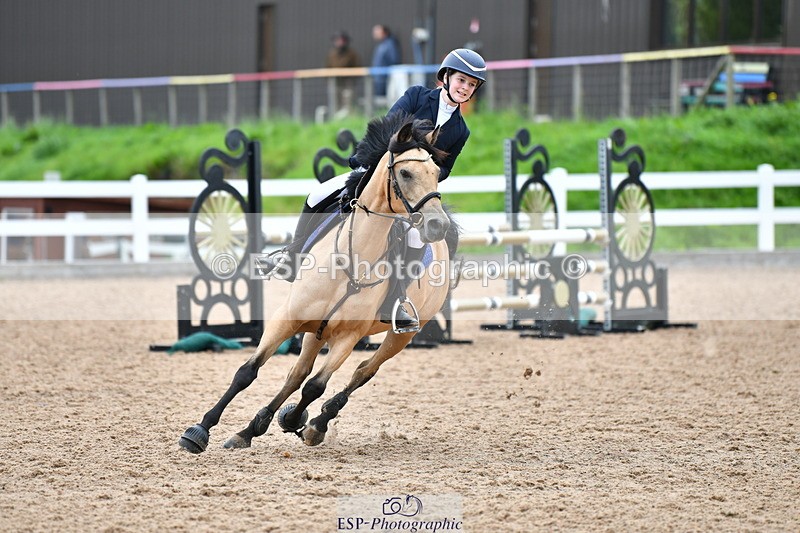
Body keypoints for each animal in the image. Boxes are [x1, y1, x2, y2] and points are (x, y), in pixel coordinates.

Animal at [179, 114, 455, 453]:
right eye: (405, 172)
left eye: (437, 174)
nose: (437, 225)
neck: (351, 259)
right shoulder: (288, 318)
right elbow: (248, 372)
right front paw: (200, 430)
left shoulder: (348, 337)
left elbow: (316, 387)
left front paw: (299, 422)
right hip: (316, 330)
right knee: (297, 373)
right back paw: (255, 426)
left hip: (398, 337)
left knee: (362, 371)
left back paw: (311, 422)